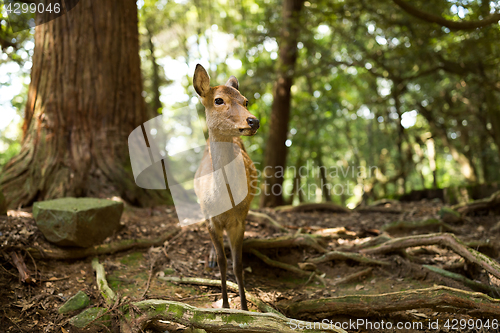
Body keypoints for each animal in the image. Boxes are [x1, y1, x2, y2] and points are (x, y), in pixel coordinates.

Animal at [192, 63, 260, 310]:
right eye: (218, 100)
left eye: (246, 100)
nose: (253, 121)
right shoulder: (210, 219)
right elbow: (222, 263)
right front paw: (224, 304)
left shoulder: (239, 220)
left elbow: (237, 265)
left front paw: (245, 307)